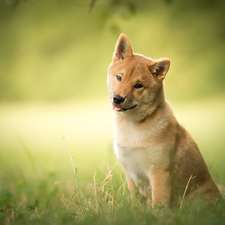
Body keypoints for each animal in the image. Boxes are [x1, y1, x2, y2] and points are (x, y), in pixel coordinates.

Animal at [107, 33, 221, 207]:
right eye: (119, 77)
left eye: (138, 85)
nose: (117, 98)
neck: (133, 126)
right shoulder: (130, 171)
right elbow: (136, 201)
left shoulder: (159, 172)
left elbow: (159, 203)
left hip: (198, 199)